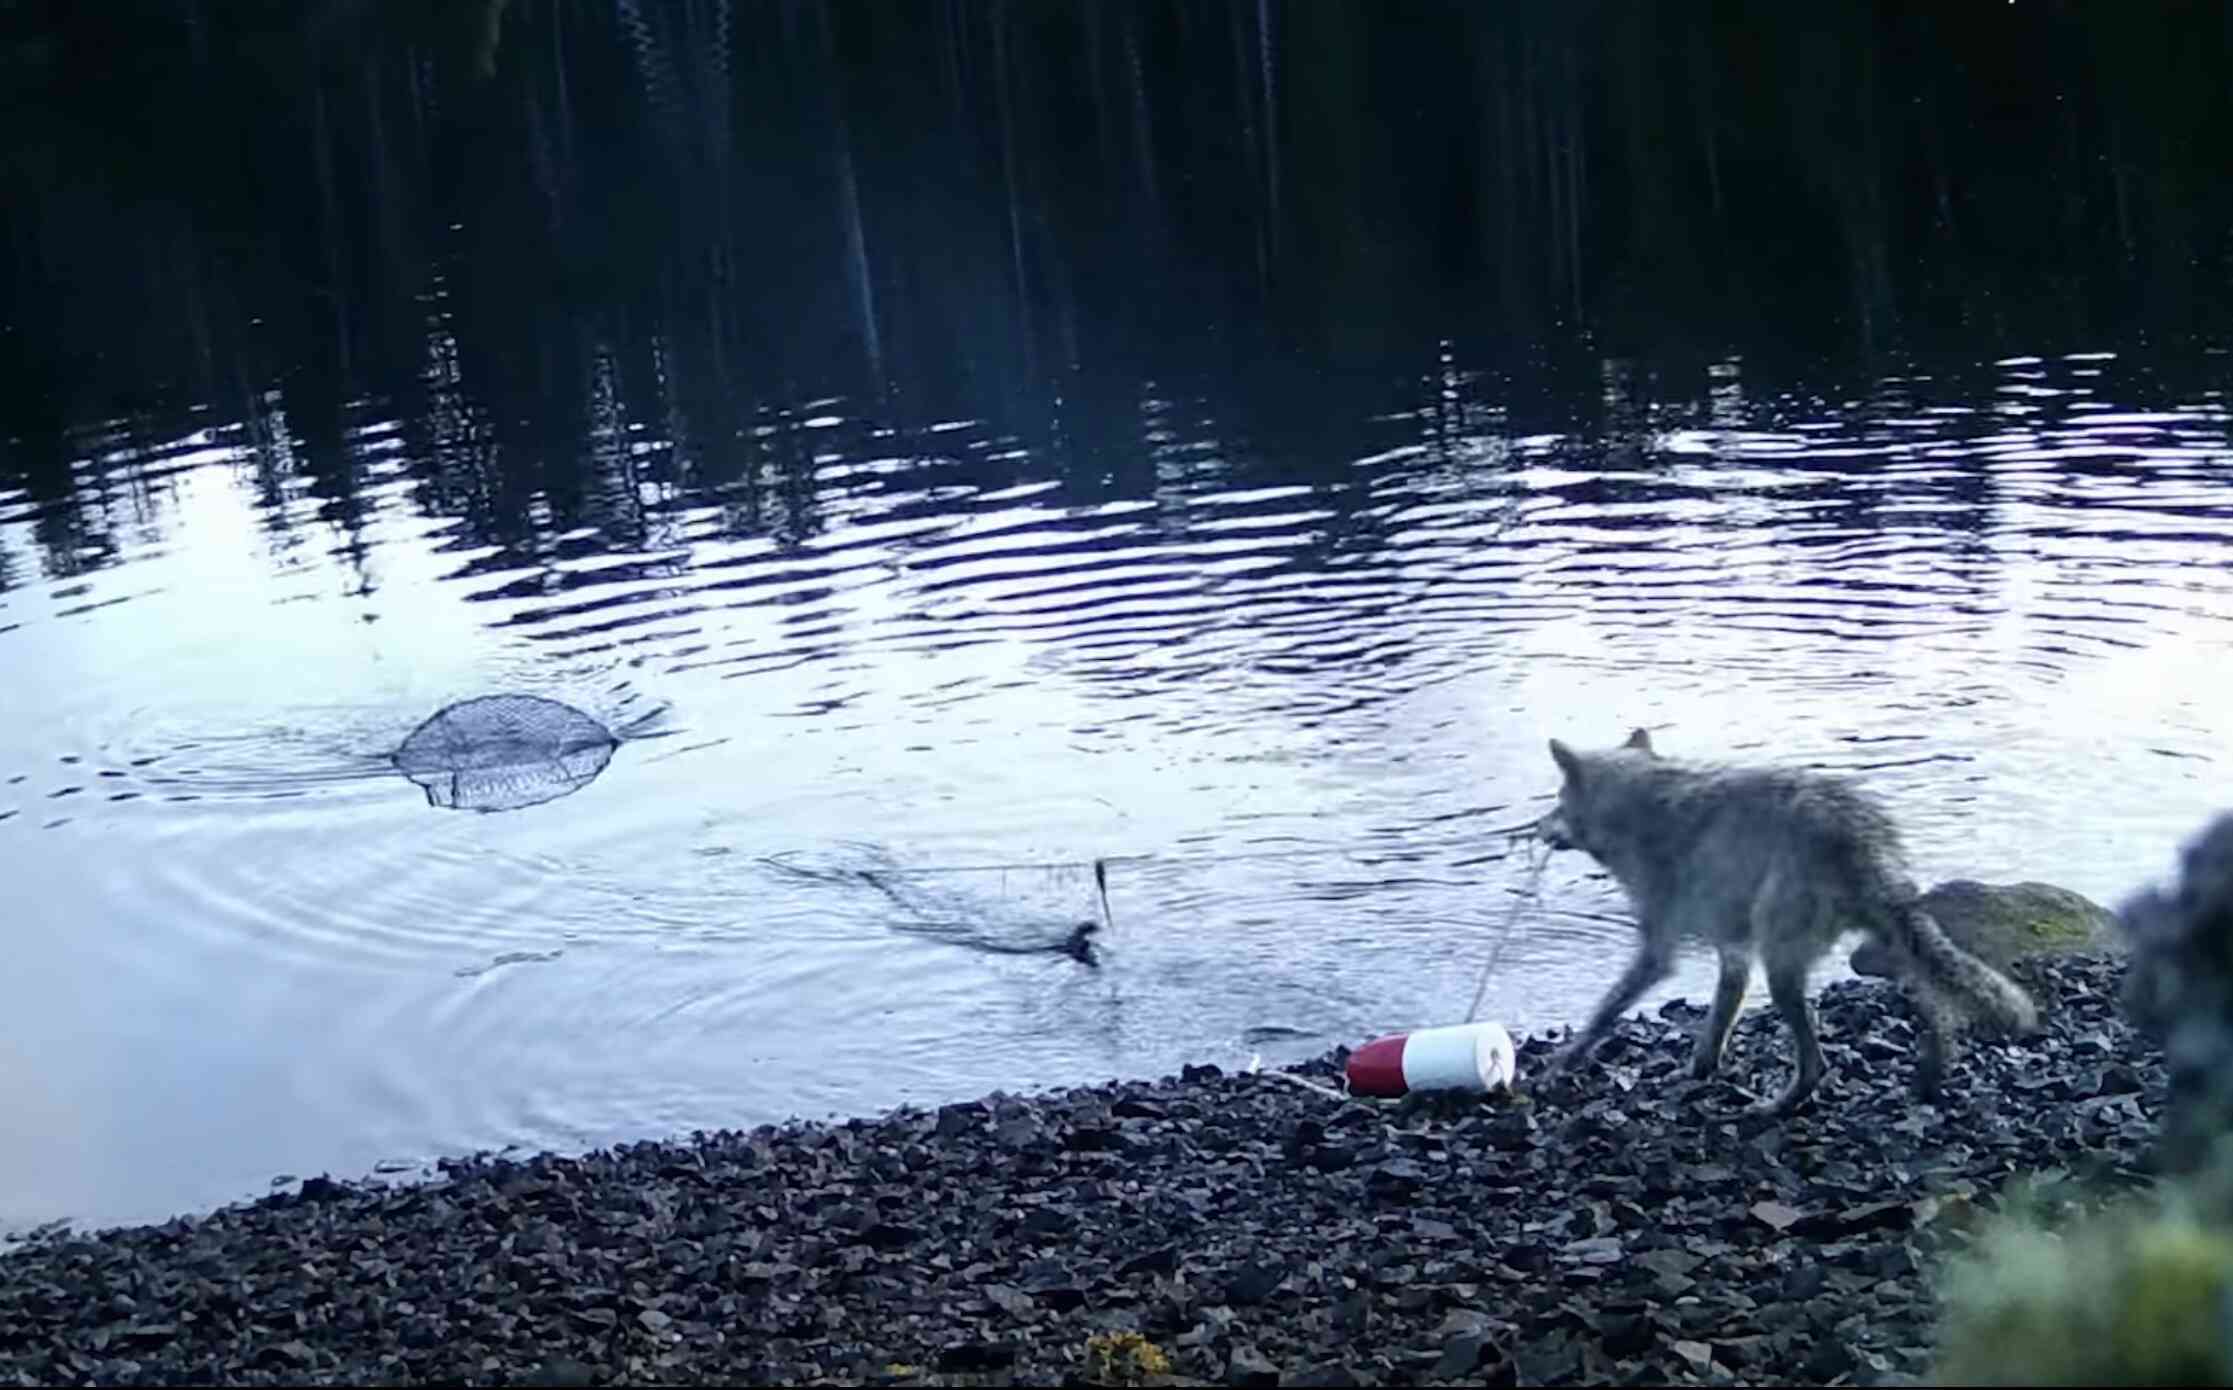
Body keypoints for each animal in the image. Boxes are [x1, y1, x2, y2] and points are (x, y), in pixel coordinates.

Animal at [1534, 728, 2039, 1116]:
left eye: (1556, 800)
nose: (1536, 828)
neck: (1636, 805)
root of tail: (1856, 835)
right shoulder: (1733, 951)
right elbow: (1719, 1016)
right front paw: (1701, 1067)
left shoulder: (1658, 950)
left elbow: (1606, 1010)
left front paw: (1565, 1059)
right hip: (1890, 940)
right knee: (1938, 1008)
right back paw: (1933, 1073)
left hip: (1784, 966)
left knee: (1817, 1063)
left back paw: (1780, 1105)